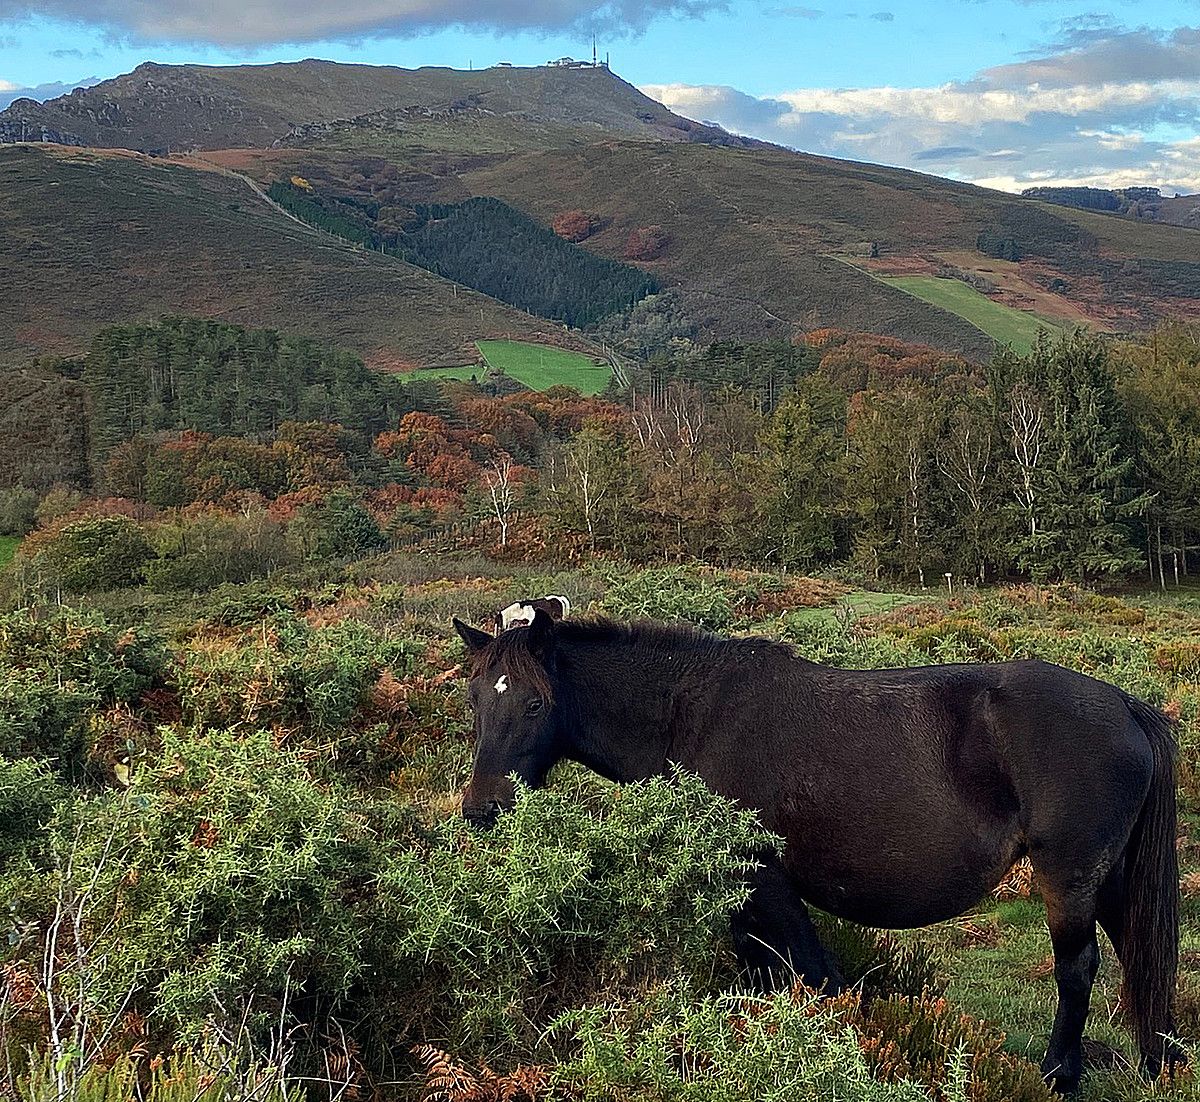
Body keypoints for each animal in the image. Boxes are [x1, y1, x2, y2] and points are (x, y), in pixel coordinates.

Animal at [453, 614, 1176, 1089]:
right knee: (1138, 953)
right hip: (1110, 879)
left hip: (1069, 877)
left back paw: (1059, 1075)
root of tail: (1125, 704)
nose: (480, 807)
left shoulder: (765, 881)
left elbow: (813, 978)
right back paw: (1158, 1062)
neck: (689, 718)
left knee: (1077, 970)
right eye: (474, 699)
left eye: (535, 703)